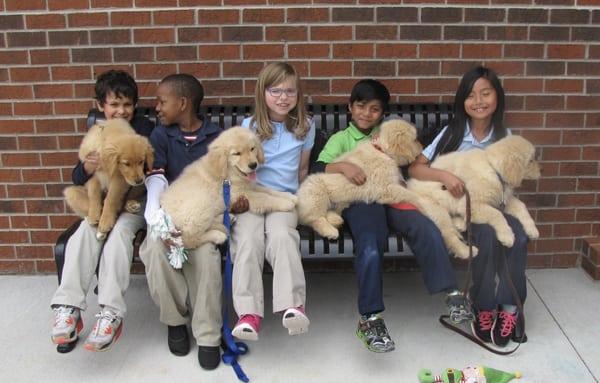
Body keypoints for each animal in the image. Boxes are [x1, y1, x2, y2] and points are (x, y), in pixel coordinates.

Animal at [159, 127, 298, 250]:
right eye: (237, 154)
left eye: (252, 149)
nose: (253, 165)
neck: (228, 175)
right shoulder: (242, 194)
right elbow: (264, 197)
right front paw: (286, 203)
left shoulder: (249, 186)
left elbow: (268, 190)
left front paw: (289, 196)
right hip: (201, 203)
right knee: (188, 239)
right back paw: (218, 235)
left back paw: (227, 219)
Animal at [408, 136, 540, 260]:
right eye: (531, 161)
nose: (542, 170)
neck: (493, 169)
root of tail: (410, 187)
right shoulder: (471, 204)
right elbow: (497, 214)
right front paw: (507, 236)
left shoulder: (501, 200)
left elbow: (521, 206)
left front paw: (533, 230)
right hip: (438, 209)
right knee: (449, 235)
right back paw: (466, 251)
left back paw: (460, 223)